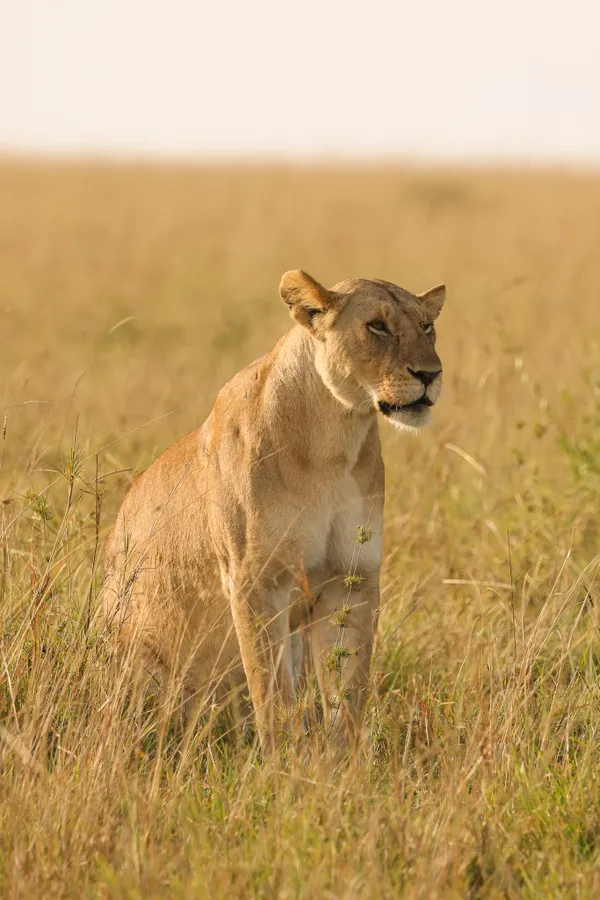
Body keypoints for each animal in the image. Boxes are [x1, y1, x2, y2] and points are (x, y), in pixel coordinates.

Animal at [103, 270, 445, 752]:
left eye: (427, 327)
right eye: (377, 326)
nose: (431, 374)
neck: (334, 440)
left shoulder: (353, 578)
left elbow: (348, 692)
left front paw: (343, 765)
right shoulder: (255, 579)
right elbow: (272, 694)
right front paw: (285, 765)